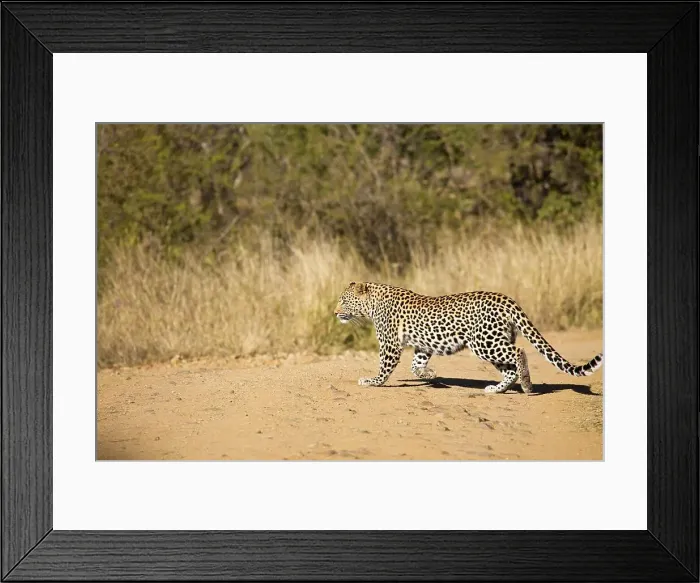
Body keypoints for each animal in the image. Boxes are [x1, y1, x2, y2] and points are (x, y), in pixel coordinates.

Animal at [334, 281, 603, 393]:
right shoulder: (423, 346)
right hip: (494, 342)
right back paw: (496, 390)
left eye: (343, 301)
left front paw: (372, 381)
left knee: (519, 353)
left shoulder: (389, 344)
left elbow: (384, 368)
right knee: (509, 370)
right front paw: (430, 375)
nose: (335, 313)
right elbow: (415, 365)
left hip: (484, 343)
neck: (371, 304)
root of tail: (506, 299)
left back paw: (527, 385)